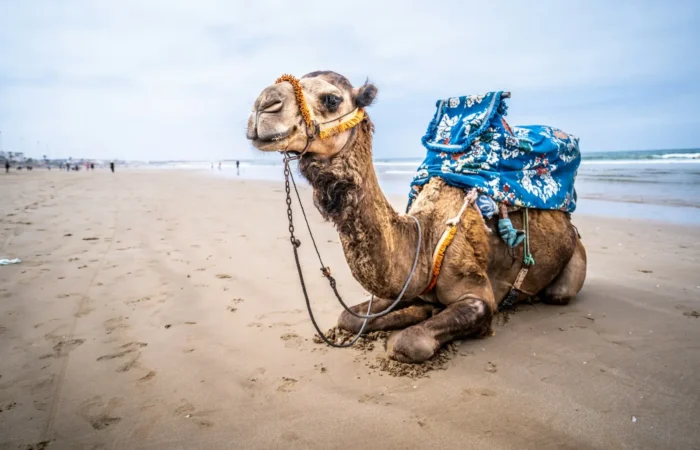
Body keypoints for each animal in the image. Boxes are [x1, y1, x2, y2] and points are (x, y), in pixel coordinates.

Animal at [246, 71, 587, 363]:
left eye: (331, 99)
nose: (263, 103)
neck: (425, 239)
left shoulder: (478, 293)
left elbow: (408, 342)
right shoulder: (408, 287)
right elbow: (348, 317)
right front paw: (414, 313)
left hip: (572, 262)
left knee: (558, 293)